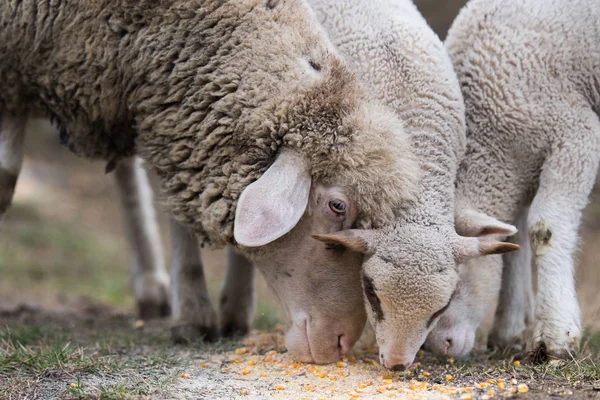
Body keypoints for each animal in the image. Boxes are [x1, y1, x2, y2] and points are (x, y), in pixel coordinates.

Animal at [1, 0, 422, 362]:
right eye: (337, 206)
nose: (341, 342)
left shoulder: (168, 108)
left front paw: (221, 310)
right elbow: (6, 179)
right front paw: (194, 315)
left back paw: (151, 287)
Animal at [426, 0, 600, 360]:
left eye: (453, 284)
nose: (440, 347)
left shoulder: (575, 136)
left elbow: (545, 229)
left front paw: (555, 337)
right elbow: (512, 240)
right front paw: (509, 331)